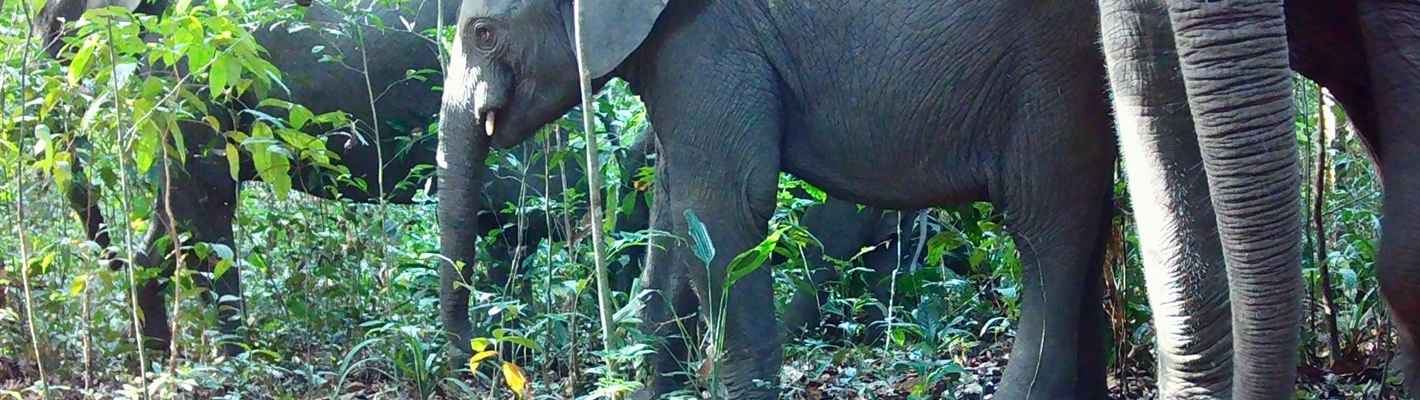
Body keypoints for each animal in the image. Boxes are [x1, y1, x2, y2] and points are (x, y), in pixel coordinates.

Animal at [431, 1, 1118, 397]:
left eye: (483, 33)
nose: (491, 362)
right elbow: (676, 214)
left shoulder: (711, 40)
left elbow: (723, 208)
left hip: (1052, 71)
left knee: (1045, 228)